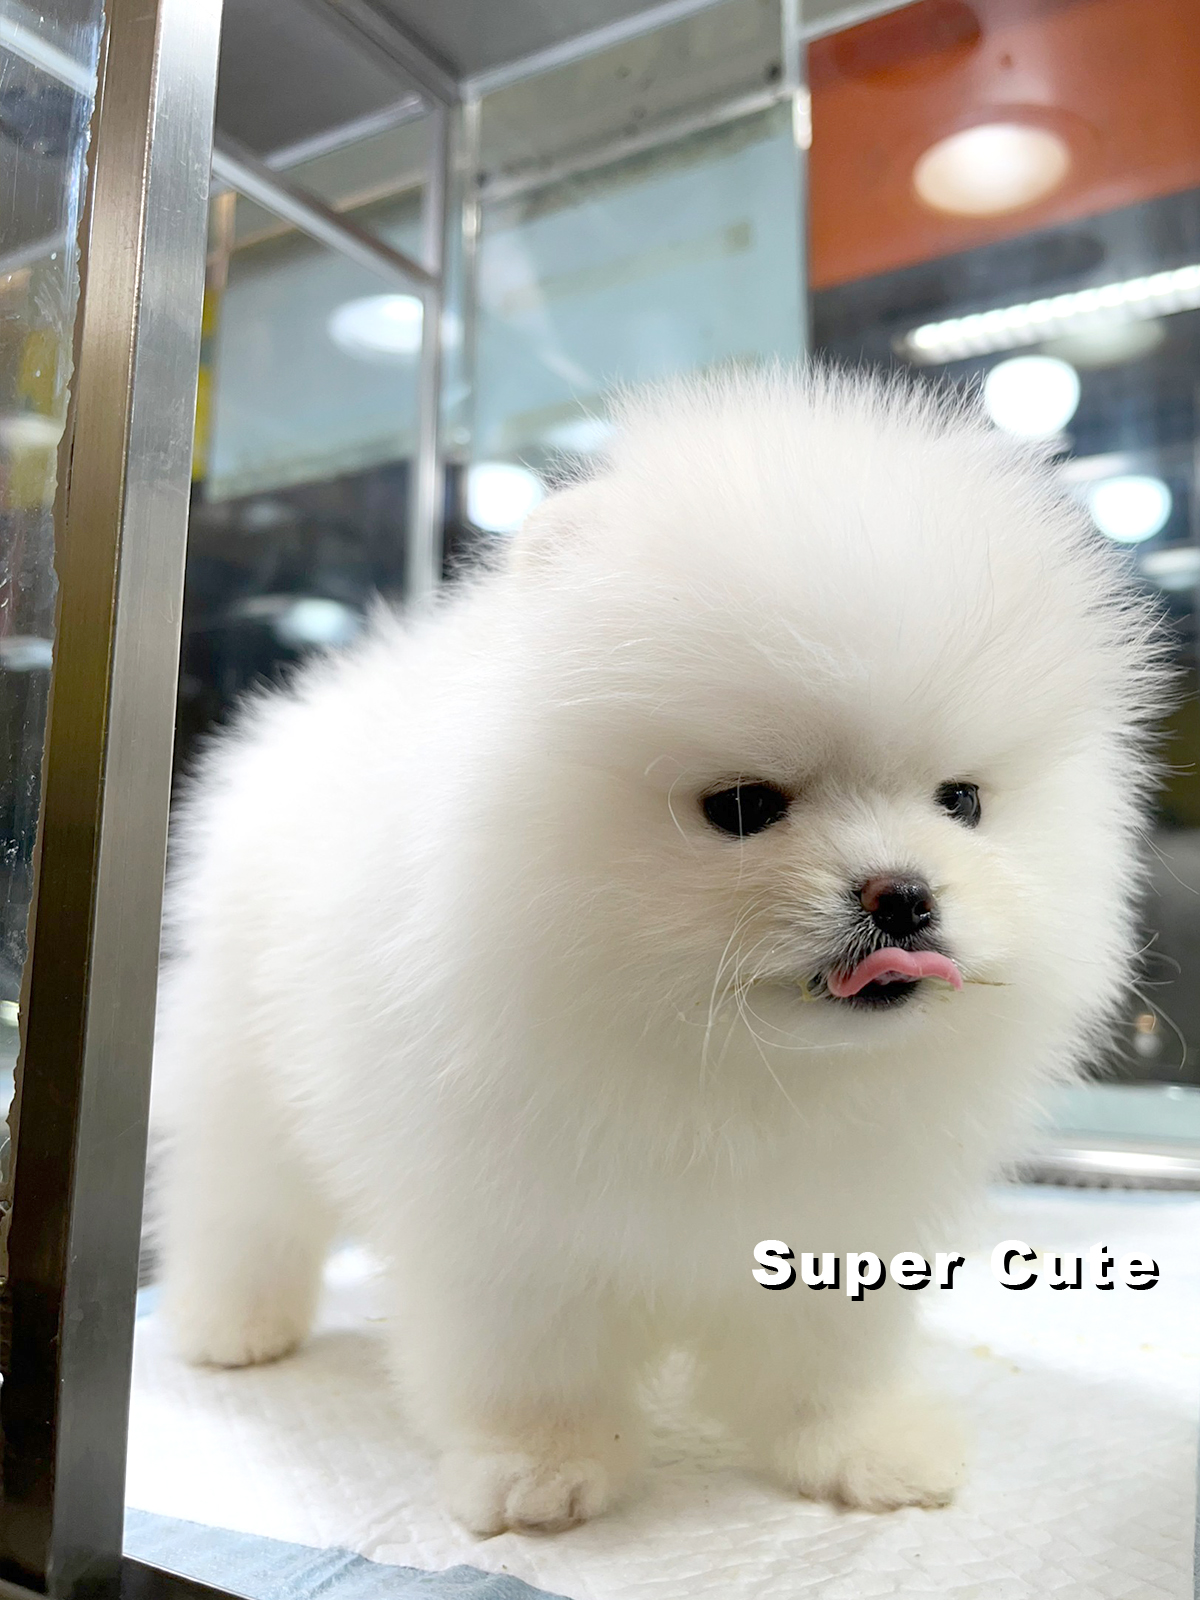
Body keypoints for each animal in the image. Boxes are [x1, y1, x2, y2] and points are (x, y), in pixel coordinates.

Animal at [153, 367, 1163, 1534]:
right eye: (743, 807)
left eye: (962, 801)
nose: (903, 895)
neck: (739, 1067)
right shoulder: (506, 1223)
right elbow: (529, 1360)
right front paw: (538, 1468)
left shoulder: (840, 1220)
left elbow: (828, 1362)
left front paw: (863, 1450)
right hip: (244, 1073)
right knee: (243, 1203)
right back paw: (232, 1327)